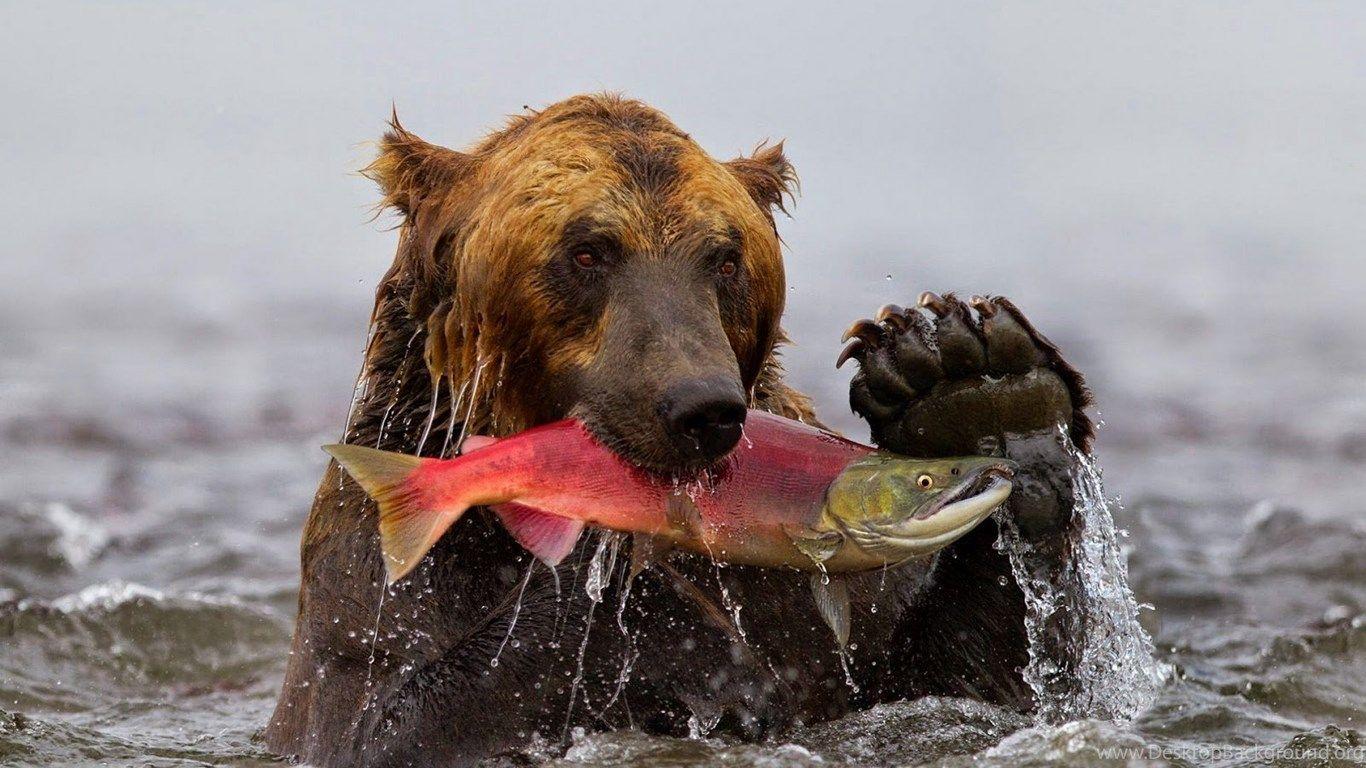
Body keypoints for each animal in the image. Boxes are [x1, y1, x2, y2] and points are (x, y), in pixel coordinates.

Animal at [265, 94, 1095, 767]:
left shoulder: (820, 605)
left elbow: (967, 690)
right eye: (587, 250)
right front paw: (674, 631)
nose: (701, 406)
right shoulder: (381, 587)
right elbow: (380, 722)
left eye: (724, 258)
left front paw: (971, 381)